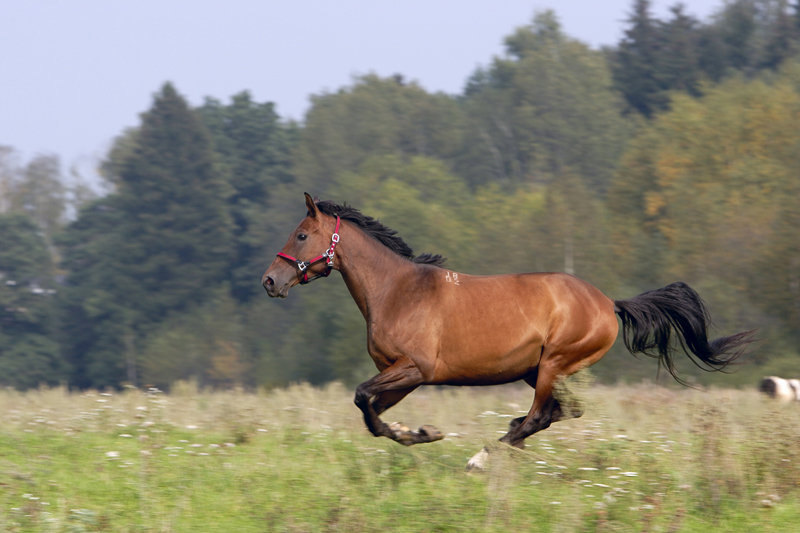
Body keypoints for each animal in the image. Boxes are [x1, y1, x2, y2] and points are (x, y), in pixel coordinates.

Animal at [262, 194, 756, 462]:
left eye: (301, 235)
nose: (270, 280)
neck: (398, 290)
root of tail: (607, 303)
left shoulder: (416, 369)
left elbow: (363, 397)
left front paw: (425, 434)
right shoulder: (401, 375)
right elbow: (372, 412)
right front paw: (418, 433)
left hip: (556, 362)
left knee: (541, 415)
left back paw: (483, 457)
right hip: (540, 371)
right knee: (563, 413)